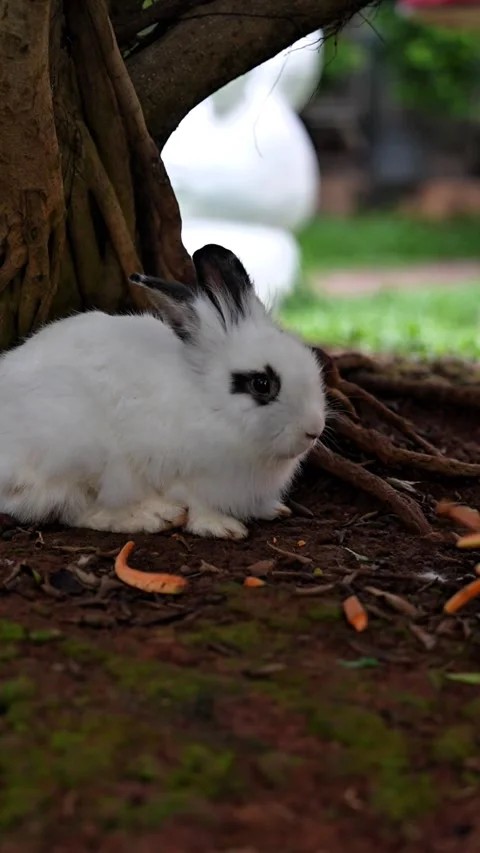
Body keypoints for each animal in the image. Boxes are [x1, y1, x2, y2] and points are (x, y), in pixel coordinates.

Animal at [0, 244, 327, 539]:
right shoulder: (181, 475)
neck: (211, 406)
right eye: (262, 384)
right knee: (76, 509)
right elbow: (197, 504)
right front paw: (221, 527)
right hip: (77, 452)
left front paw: (273, 509)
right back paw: (154, 516)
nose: (314, 430)